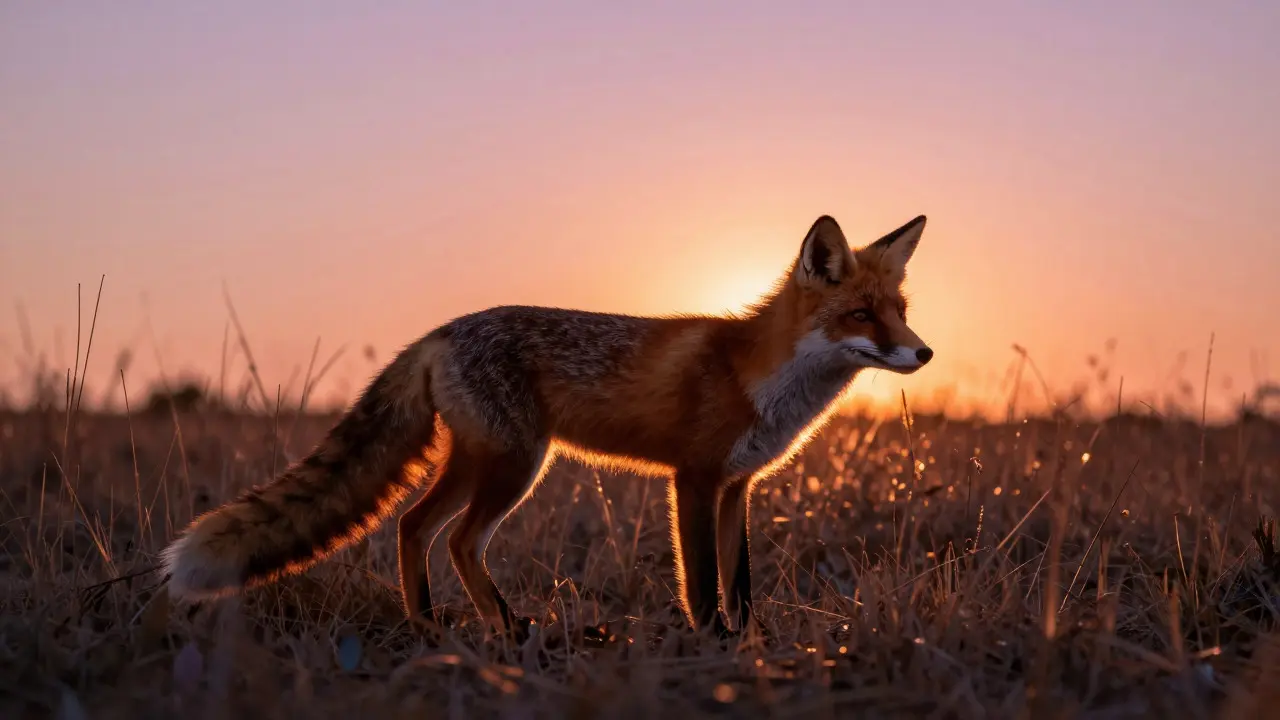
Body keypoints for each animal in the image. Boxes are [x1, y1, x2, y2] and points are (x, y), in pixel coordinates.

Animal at [160, 213, 933, 638]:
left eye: (898, 311)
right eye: (860, 315)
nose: (924, 353)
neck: (761, 376)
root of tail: (440, 331)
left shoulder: (737, 486)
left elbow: (740, 581)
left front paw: (751, 644)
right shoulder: (694, 478)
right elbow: (702, 581)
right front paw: (710, 641)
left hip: (481, 462)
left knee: (413, 526)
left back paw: (430, 624)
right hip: (514, 464)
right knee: (457, 538)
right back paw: (496, 627)